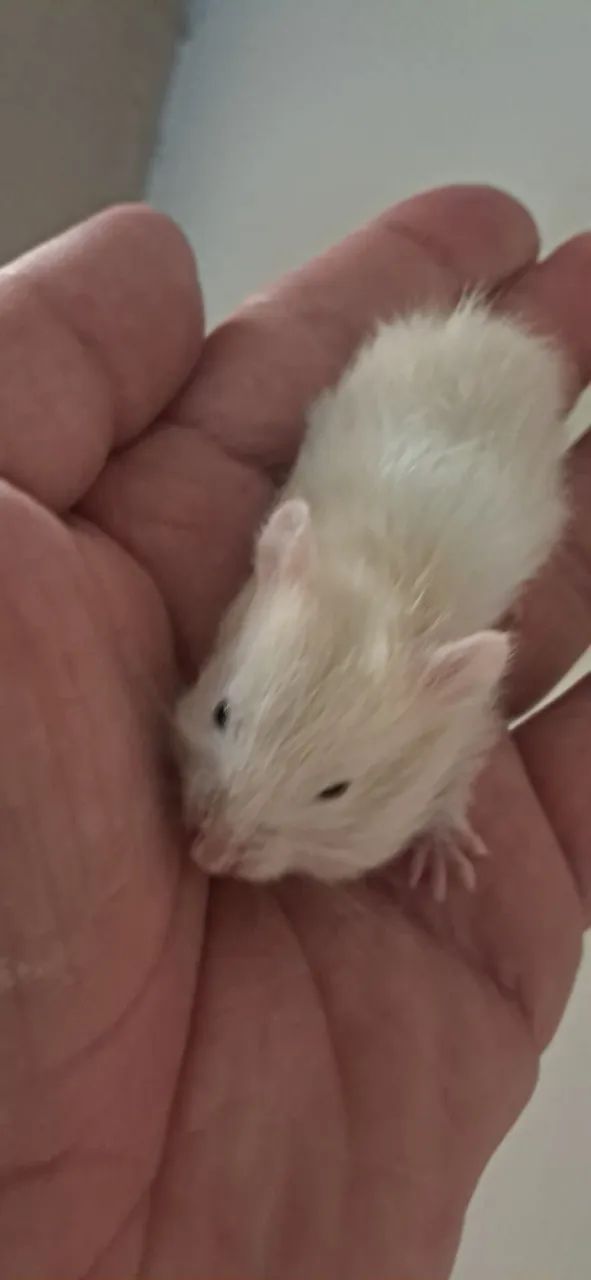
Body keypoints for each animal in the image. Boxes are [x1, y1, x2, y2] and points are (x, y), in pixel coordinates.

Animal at [175, 298, 568, 898]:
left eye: (335, 790)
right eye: (221, 713)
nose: (207, 855)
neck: (386, 585)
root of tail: (499, 329)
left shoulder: (466, 730)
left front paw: (444, 867)